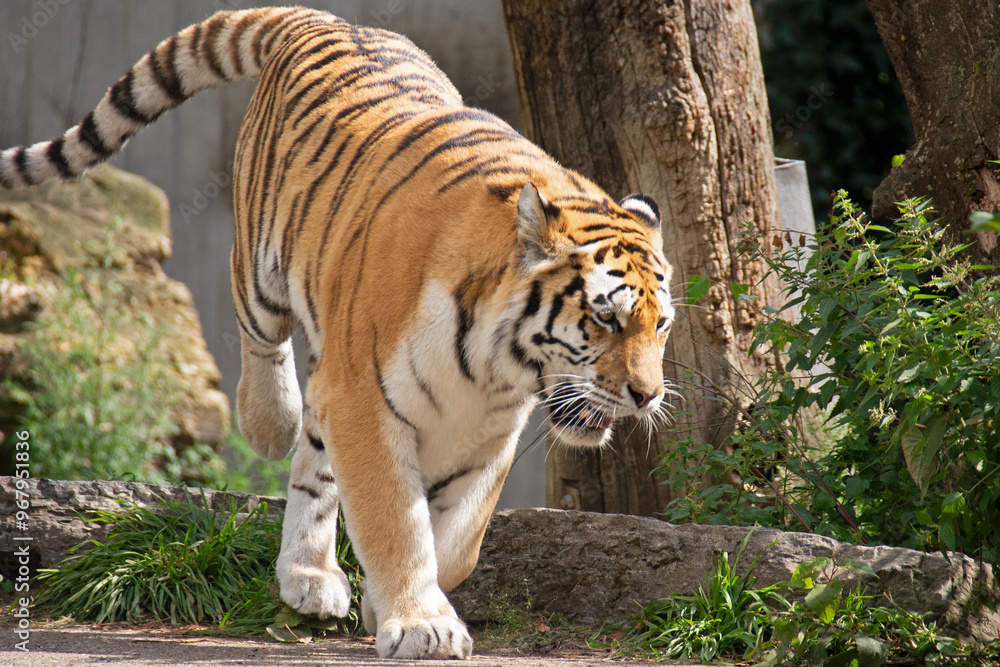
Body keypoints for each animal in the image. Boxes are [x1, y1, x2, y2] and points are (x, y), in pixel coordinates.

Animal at [0, 6, 675, 659]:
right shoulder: (367, 402)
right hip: (263, 273)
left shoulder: (490, 430)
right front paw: (423, 625)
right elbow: (396, 521)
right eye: (606, 317)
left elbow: (459, 540)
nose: (648, 396)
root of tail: (321, 18)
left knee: (315, 462)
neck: (497, 365)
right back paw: (271, 425)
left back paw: (308, 576)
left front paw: (390, 605)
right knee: (264, 349)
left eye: (661, 324)